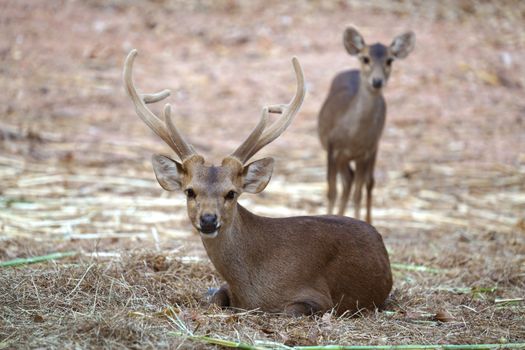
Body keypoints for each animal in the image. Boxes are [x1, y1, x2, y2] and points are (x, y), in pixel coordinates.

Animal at [123, 48, 390, 314]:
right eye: (190, 191)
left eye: (231, 193)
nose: (208, 220)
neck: (250, 288)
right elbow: (215, 298)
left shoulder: (319, 298)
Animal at [316, 26, 414, 223]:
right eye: (365, 58)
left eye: (390, 60)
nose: (377, 81)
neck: (353, 136)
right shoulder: (332, 146)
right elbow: (331, 191)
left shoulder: (365, 152)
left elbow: (358, 194)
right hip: (343, 157)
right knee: (348, 180)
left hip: (375, 147)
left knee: (367, 182)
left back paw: (366, 219)